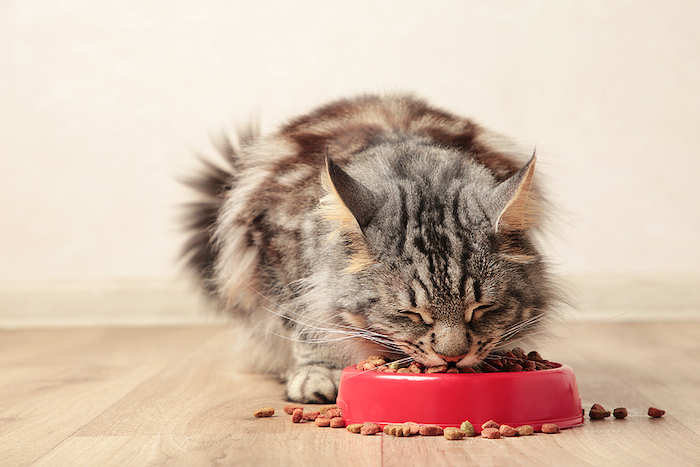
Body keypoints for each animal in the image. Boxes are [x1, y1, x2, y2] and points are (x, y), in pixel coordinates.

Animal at [180, 93, 556, 404]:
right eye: (411, 314)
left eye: (481, 309)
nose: (453, 358)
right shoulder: (278, 252)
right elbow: (306, 323)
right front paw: (318, 373)